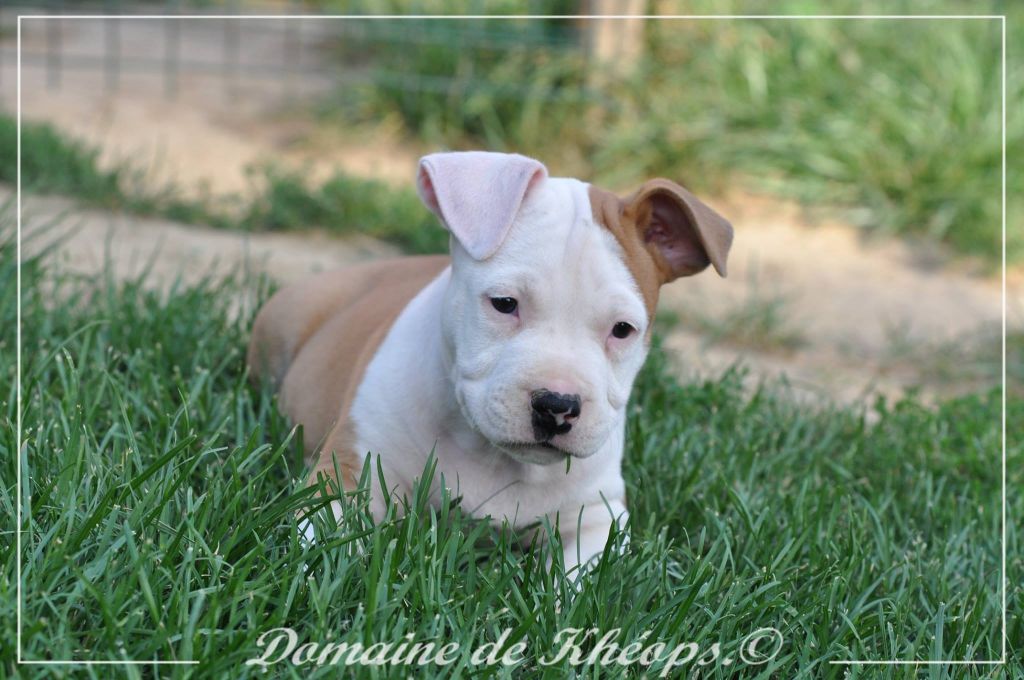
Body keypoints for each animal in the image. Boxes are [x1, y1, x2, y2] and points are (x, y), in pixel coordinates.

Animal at [247, 151, 732, 571]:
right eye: (504, 304)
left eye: (623, 330)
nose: (557, 406)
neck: (490, 454)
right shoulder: (351, 471)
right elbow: (322, 547)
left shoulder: (598, 516)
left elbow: (580, 582)